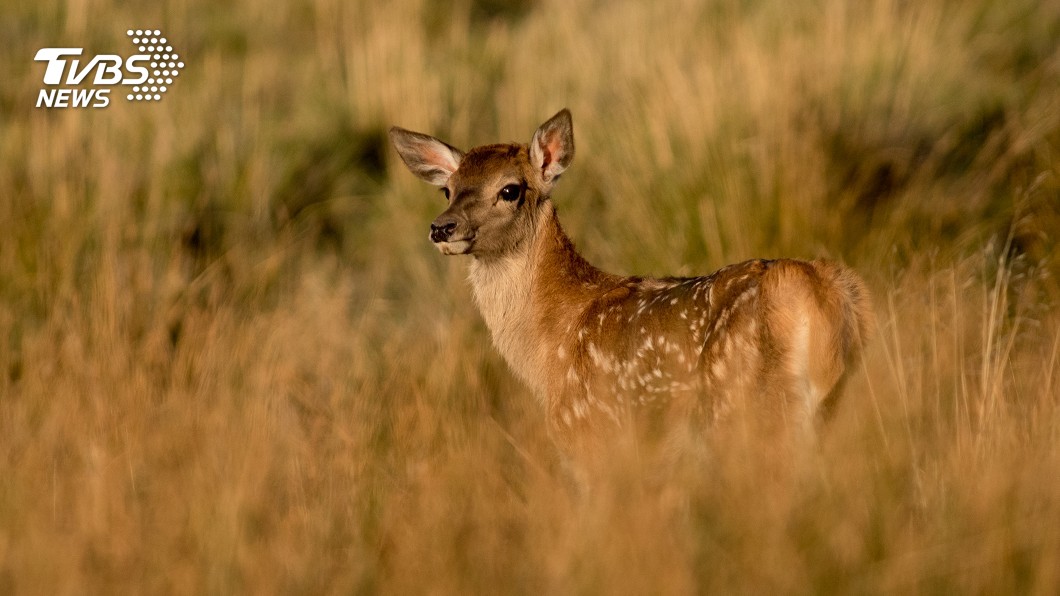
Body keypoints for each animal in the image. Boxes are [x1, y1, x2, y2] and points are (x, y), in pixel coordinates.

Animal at [389, 109, 873, 462]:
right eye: (447, 190)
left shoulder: (590, 435)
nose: (442, 227)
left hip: (744, 406)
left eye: (510, 189)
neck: (548, 348)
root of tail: (815, 288)